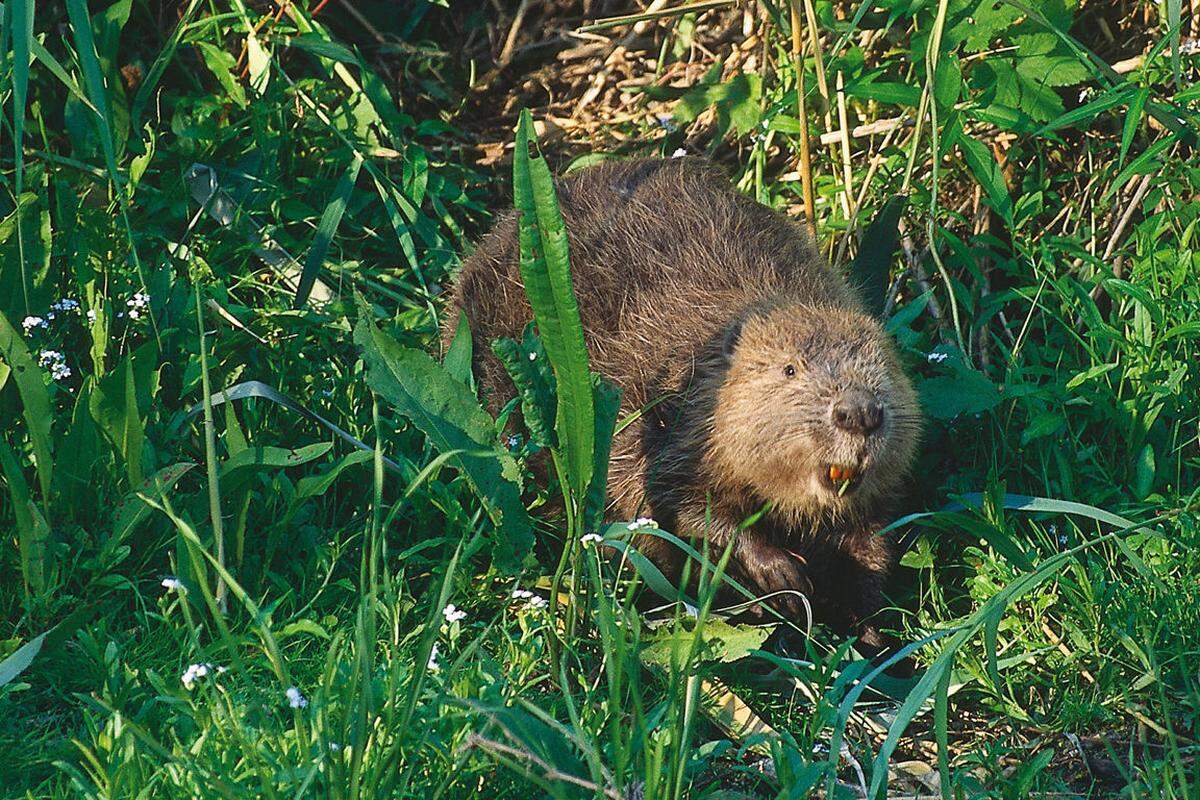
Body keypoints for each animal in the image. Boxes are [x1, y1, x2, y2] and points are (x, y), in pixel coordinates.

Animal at [446, 158, 921, 657]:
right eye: (790, 368)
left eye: (883, 365)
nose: (859, 412)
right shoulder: (652, 424)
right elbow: (679, 510)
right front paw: (783, 577)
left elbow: (871, 540)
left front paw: (871, 626)